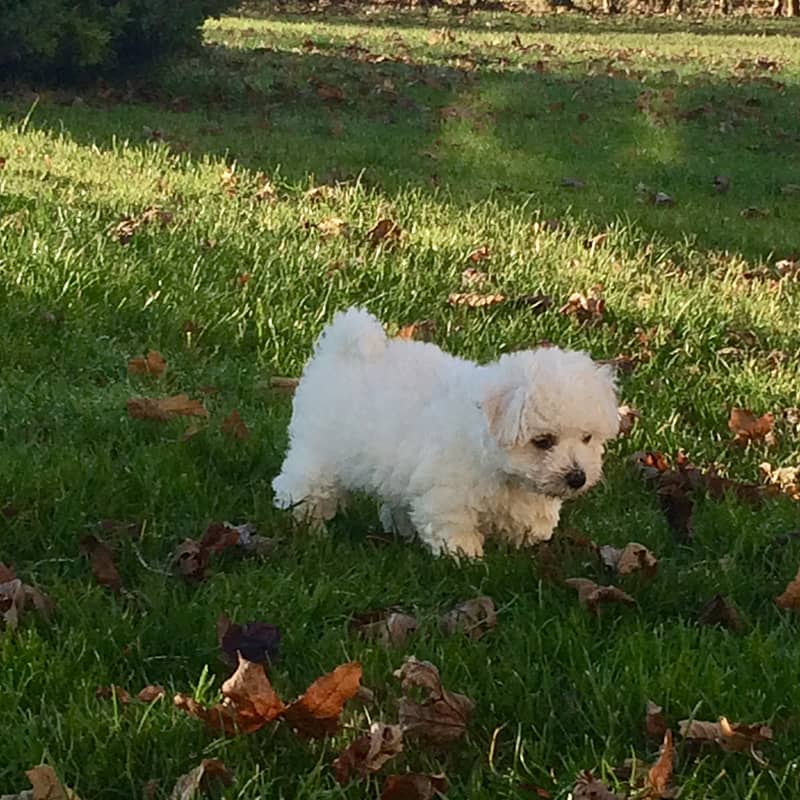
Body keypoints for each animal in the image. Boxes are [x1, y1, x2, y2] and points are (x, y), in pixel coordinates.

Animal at [274, 306, 620, 556]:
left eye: (587, 438)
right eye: (543, 441)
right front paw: (466, 557)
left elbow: (530, 515)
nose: (577, 478)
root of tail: (341, 348)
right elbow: (454, 526)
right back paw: (307, 526)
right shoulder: (449, 493)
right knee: (304, 487)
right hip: (319, 451)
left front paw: (528, 538)